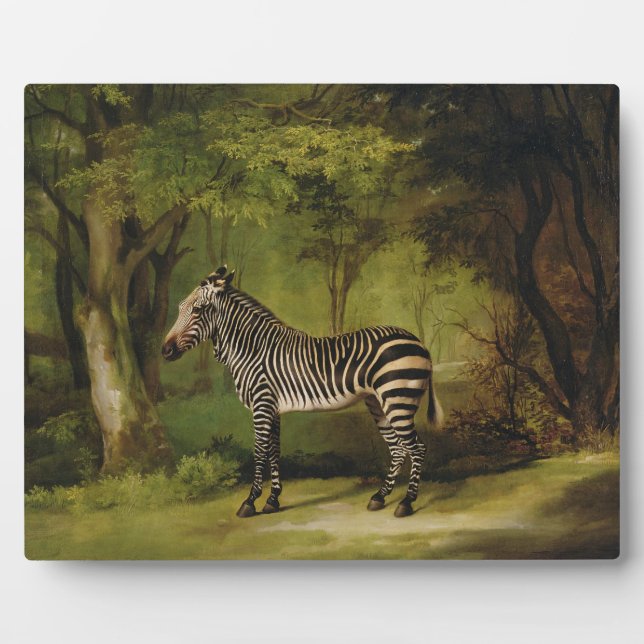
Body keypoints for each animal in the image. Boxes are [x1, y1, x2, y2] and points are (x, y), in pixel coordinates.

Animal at [162, 266, 443, 518]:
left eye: (198, 310)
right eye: (179, 308)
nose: (165, 350)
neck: (252, 349)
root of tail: (420, 343)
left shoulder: (262, 405)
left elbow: (259, 453)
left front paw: (250, 502)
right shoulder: (273, 408)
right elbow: (274, 452)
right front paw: (272, 500)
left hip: (397, 399)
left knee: (417, 448)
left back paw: (406, 503)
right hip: (378, 402)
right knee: (398, 449)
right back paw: (379, 497)